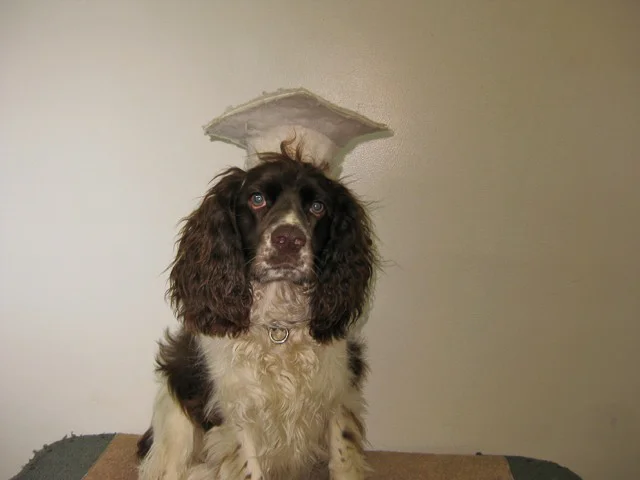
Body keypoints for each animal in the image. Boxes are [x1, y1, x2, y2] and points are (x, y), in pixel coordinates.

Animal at [137, 144, 377, 480]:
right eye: (257, 199)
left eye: (318, 206)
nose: (289, 239)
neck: (279, 325)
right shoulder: (236, 406)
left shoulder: (338, 388)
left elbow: (344, 457)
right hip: (175, 416)